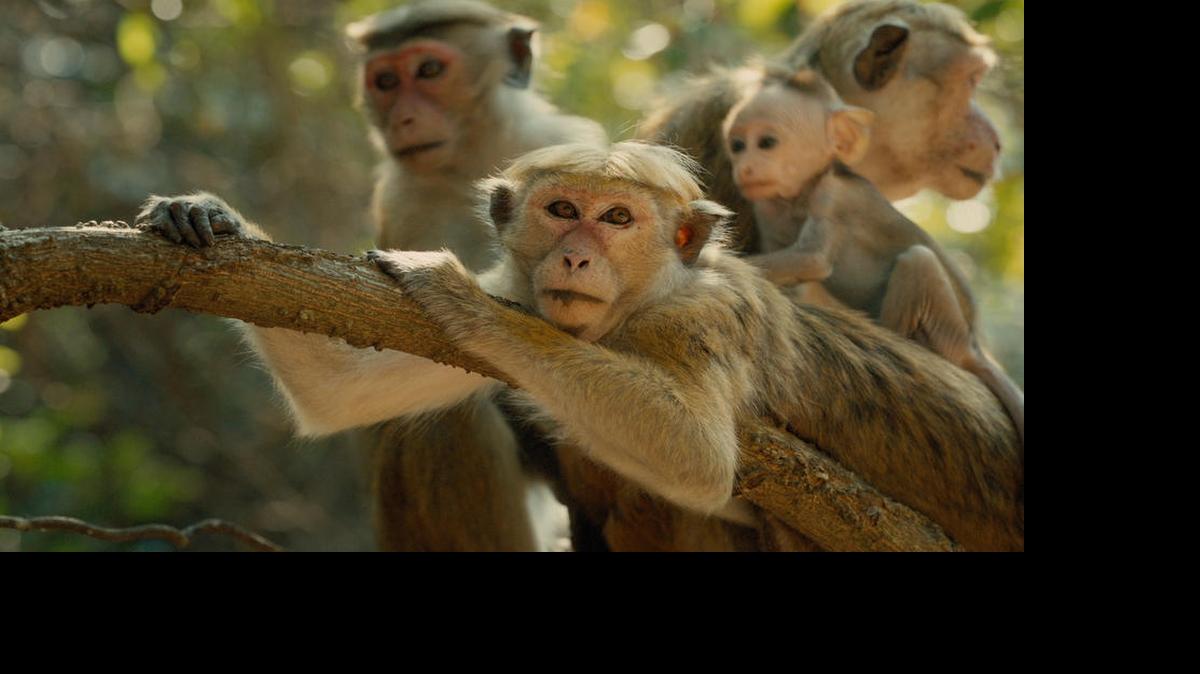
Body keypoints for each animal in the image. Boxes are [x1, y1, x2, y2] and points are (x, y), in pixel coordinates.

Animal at [138, 141, 1023, 551]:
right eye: (563, 209)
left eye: (618, 218)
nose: (576, 256)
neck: (631, 310)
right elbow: (338, 390)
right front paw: (210, 214)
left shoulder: (700, 318)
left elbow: (697, 457)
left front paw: (461, 297)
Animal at [343, 0, 608, 551]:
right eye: (385, 81)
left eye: (428, 70)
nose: (403, 118)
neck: (477, 161)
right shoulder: (406, 201)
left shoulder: (563, 144)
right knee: (441, 420)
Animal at [722, 68, 1023, 446]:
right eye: (737, 146)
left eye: (766, 143)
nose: (744, 168)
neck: (801, 193)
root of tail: (973, 345)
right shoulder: (768, 206)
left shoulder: (832, 196)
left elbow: (812, 259)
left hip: (948, 333)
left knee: (918, 259)